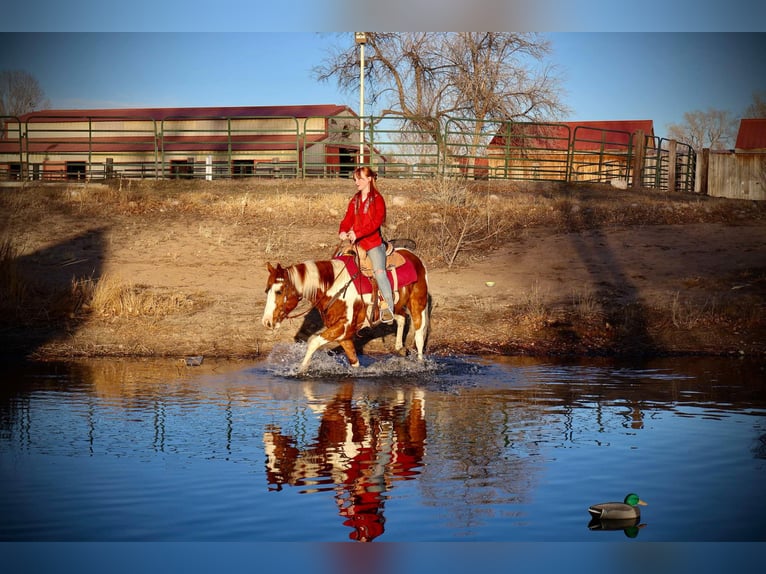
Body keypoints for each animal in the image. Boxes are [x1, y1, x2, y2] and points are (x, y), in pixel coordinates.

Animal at [262, 246, 432, 374]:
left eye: (279, 291)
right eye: (266, 290)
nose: (267, 321)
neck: (332, 287)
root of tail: (415, 258)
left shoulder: (344, 327)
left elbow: (313, 341)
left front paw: (301, 370)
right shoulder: (344, 335)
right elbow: (354, 362)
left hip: (418, 304)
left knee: (419, 335)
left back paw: (419, 363)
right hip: (396, 307)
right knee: (402, 318)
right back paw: (399, 347)